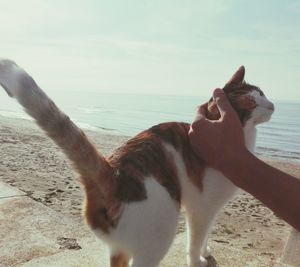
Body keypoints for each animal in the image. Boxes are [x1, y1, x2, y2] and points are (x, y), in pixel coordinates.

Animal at [0, 60, 274, 267]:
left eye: (262, 93)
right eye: (254, 102)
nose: (273, 105)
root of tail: (112, 172)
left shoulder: (211, 210)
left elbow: (207, 235)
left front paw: (206, 252)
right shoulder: (201, 209)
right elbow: (195, 241)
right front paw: (198, 260)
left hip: (120, 245)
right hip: (160, 231)